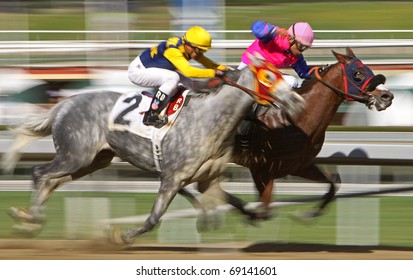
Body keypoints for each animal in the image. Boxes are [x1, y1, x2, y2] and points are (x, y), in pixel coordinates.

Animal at [196, 48, 392, 222]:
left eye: (368, 69)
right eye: (358, 73)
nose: (387, 96)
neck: (295, 117)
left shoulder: (299, 165)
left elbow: (333, 182)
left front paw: (307, 215)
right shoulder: (261, 168)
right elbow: (264, 210)